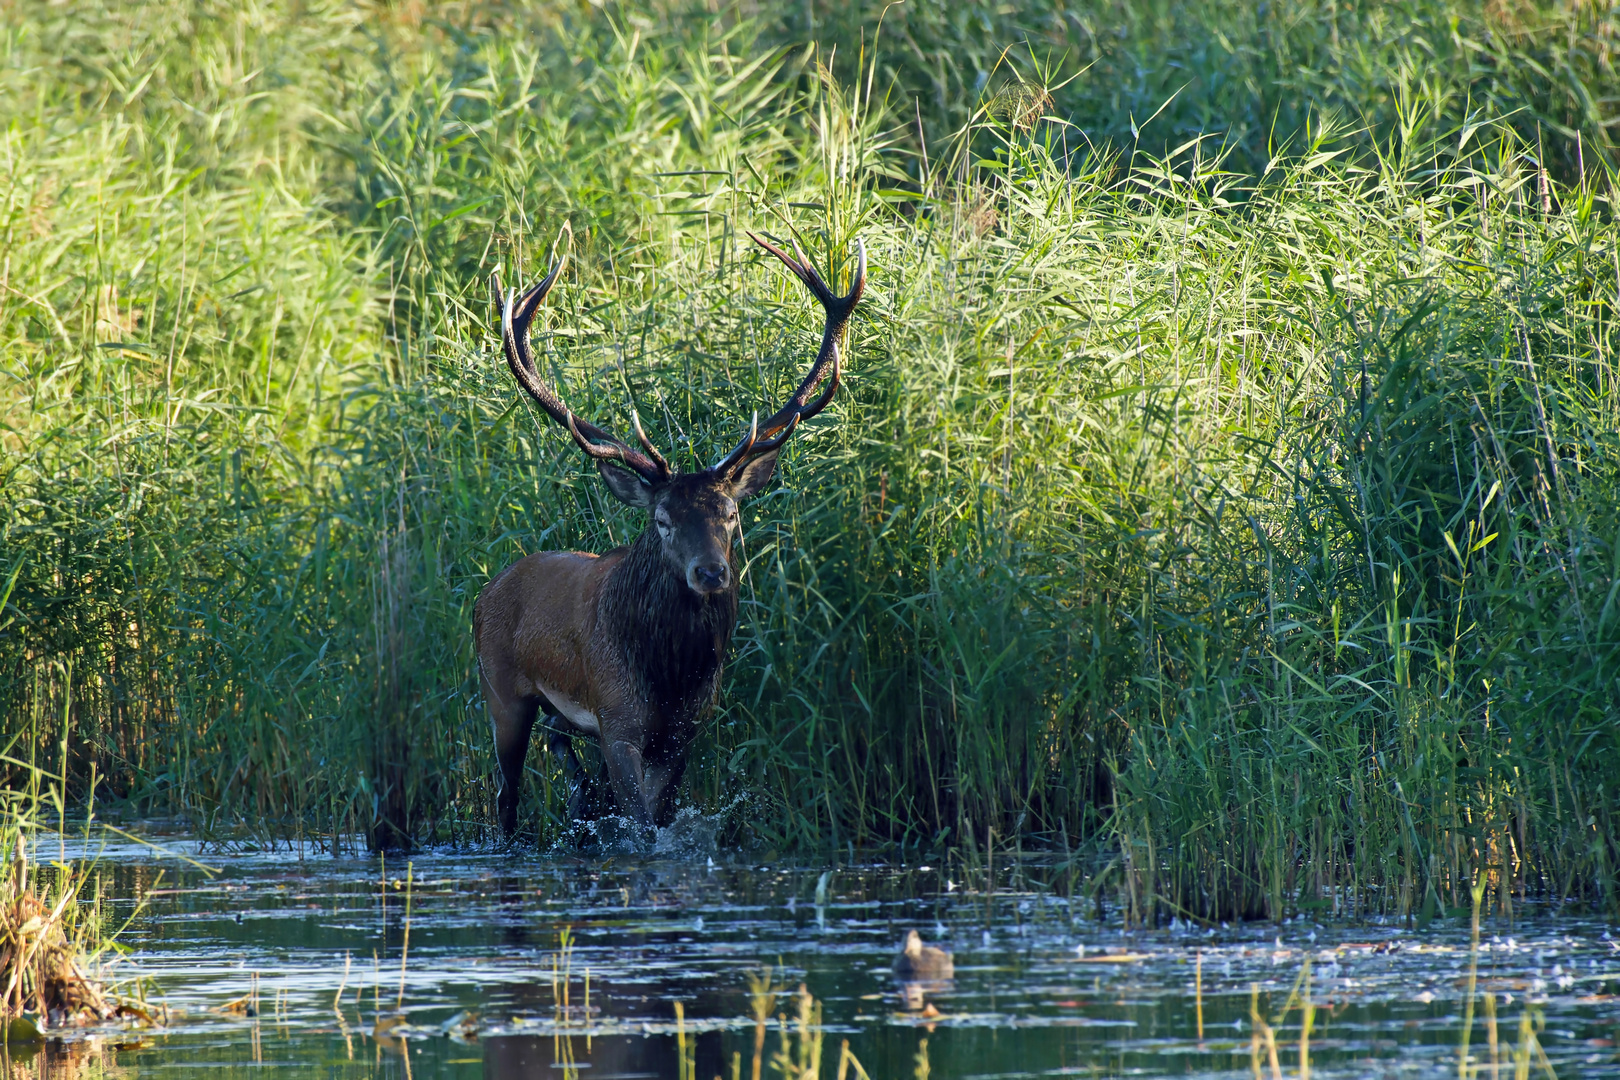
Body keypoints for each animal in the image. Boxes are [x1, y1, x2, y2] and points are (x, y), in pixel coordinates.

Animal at [473, 228, 868, 841]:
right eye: (662, 520)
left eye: (729, 513)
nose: (711, 571)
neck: (670, 677)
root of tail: (486, 590)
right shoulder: (617, 720)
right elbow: (640, 828)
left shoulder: (686, 731)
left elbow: (661, 818)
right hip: (501, 693)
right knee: (506, 797)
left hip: (560, 717)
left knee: (570, 770)